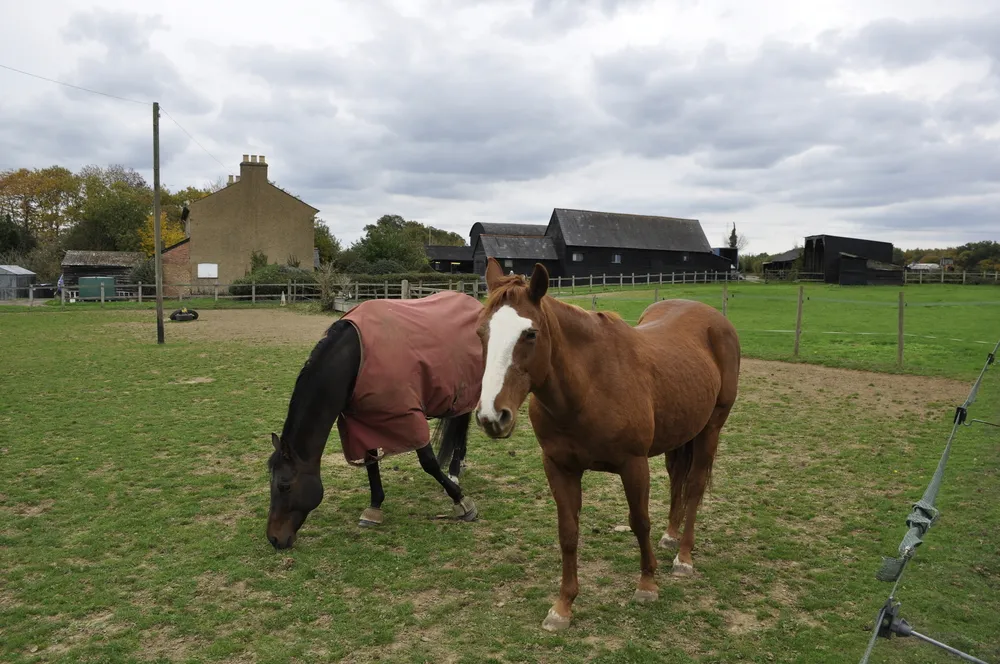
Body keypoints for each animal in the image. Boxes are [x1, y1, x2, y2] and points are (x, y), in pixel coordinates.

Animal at [266, 290, 485, 550]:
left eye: (284, 485)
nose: (274, 538)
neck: (358, 359)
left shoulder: (408, 416)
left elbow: (429, 463)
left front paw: (462, 501)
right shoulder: (362, 422)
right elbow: (370, 462)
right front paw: (374, 507)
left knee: (461, 425)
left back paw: (454, 471)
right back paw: (459, 464)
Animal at [474, 258, 740, 631]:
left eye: (530, 334)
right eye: (481, 333)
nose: (491, 416)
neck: (588, 387)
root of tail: (715, 320)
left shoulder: (633, 465)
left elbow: (639, 521)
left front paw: (647, 585)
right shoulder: (559, 467)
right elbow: (568, 532)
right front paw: (563, 606)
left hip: (710, 428)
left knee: (695, 486)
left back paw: (684, 557)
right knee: (678, 481)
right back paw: (670, 536)